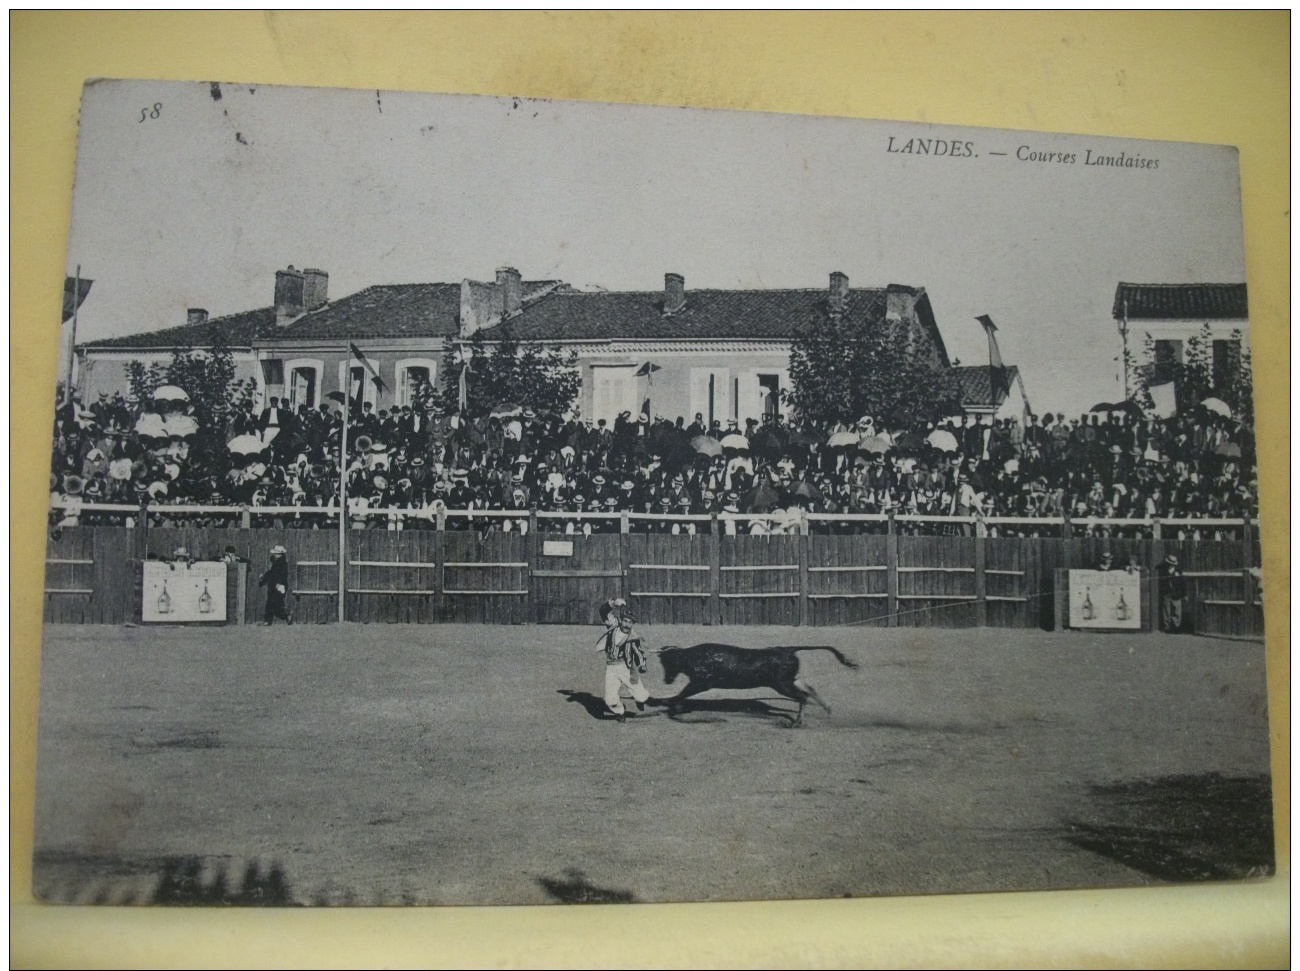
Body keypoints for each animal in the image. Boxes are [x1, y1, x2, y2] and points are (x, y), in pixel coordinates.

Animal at [660, 642, 863, 727]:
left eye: (666, 662)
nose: (666, 680)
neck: (691, 656)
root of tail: (788, 649)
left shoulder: (701, 683)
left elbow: (682, 693)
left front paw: (674, 707)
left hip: (781, 684)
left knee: (802, 696)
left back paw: (798, 722)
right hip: (787, 681)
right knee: (808, 688)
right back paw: (827, 710)